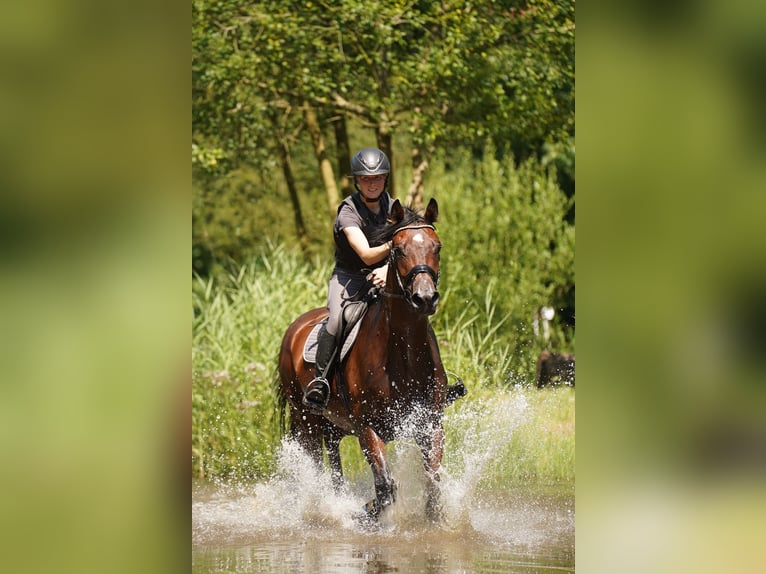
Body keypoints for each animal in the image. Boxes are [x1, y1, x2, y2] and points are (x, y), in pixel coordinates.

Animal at [280, 199, 450, 528]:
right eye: (398, 250)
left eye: (436, 247)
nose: (424, 298)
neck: (403, 351)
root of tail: (295, 327)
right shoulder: (367, 426)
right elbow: (385, 485)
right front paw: (368, 513)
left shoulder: (430, 422)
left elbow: (432, 479)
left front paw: (435, 522)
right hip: (305, 419)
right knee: (315, 462)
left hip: (333, 425)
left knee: (334, 459)